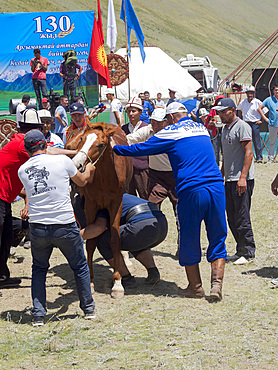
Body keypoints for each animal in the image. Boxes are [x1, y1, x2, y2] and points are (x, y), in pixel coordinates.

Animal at [67, 121, 133, 298]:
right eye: (82, 139)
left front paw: (117, 283)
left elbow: (115, 240)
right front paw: (89, 280)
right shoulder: (90, 205)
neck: (105, 177)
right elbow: (91, 242)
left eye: (101, 144)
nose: (77, 164)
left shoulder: (116, 203)